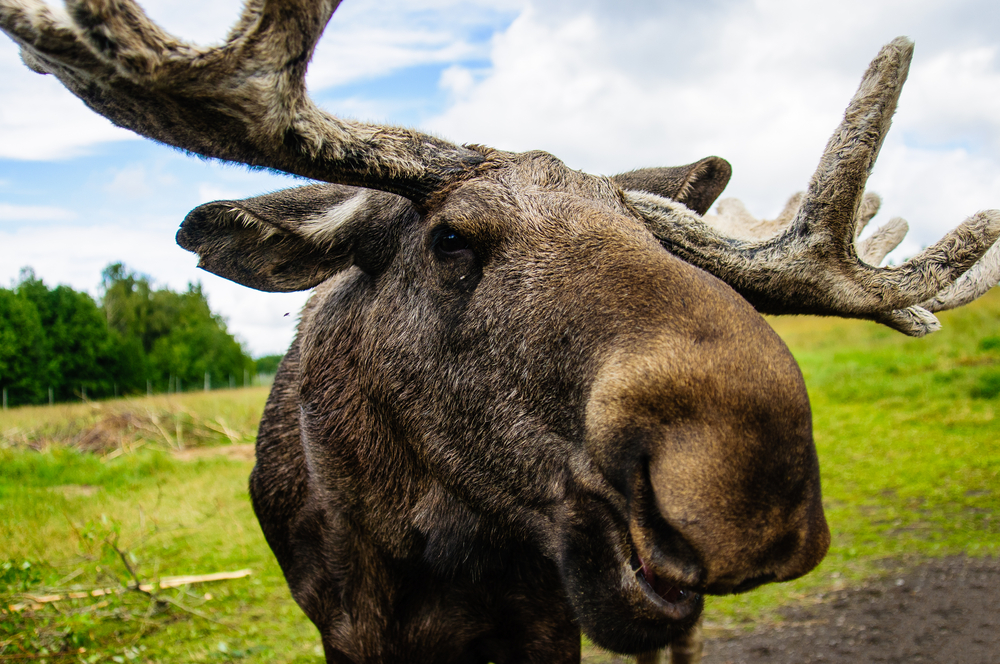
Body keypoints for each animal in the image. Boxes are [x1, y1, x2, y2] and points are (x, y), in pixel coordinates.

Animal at [3, 1, 996, 664]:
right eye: (450, 239)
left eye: (667, 242)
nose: (754, 482)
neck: (418, 549)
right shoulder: (342, 628)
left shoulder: (547, 626)